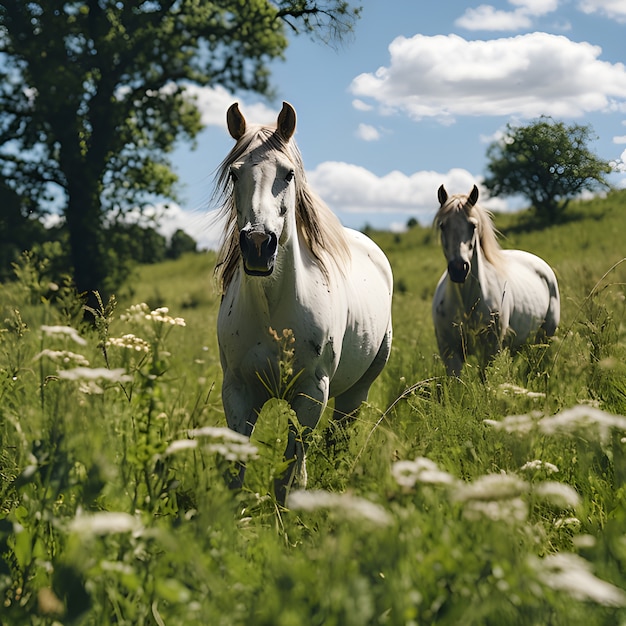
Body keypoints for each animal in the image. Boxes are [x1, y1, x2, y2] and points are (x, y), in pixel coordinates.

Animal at [212, 102, 392, 498]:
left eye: (289, 173)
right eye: (234, 173)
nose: (258, 244)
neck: (272, 308)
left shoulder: (312, 392)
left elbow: (289, 478)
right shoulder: (238, 392)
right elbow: (236, 474)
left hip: (357, 391)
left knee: (339, 436)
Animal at [432, 182, 560, 376]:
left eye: (473, 226)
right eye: (442, 225)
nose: (459, 269)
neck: (466, 303)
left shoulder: (491, 350)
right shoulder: (450, 353)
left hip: (543, 338)